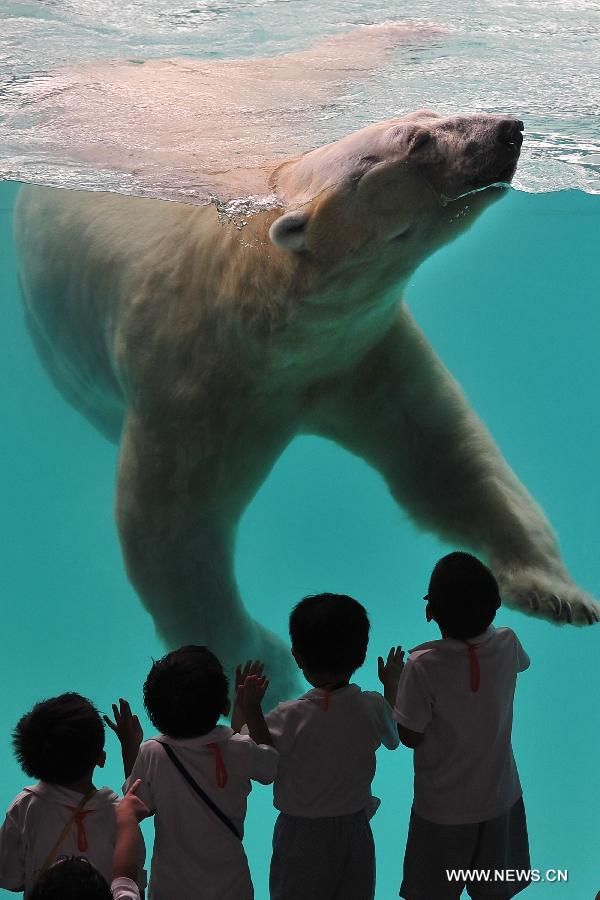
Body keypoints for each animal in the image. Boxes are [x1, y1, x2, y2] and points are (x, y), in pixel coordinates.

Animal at [15, 110, 600, 704]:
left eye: (431, 114)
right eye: (417, 141)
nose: (509, 129)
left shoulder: (355, 351)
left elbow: (446, 456)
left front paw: (555, 594)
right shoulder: (193, 383)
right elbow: (171, 529)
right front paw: (267, 665)